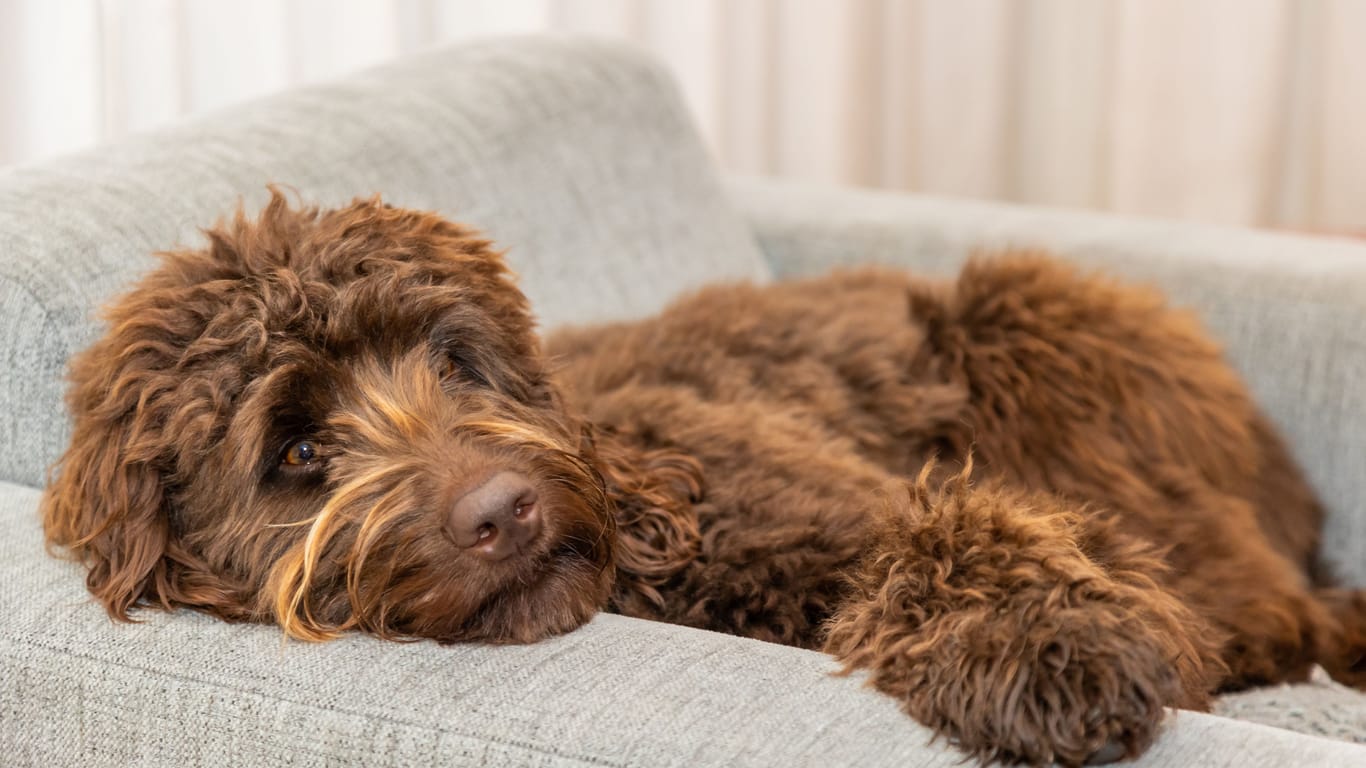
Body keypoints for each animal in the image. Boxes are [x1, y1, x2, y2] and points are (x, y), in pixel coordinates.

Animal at [42, 192, 1366, 765]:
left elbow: (959, 532)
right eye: (300, 453)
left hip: (1028, 321)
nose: (505, 508)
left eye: (454, 359)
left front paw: (1050, 647)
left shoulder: (823, 506)